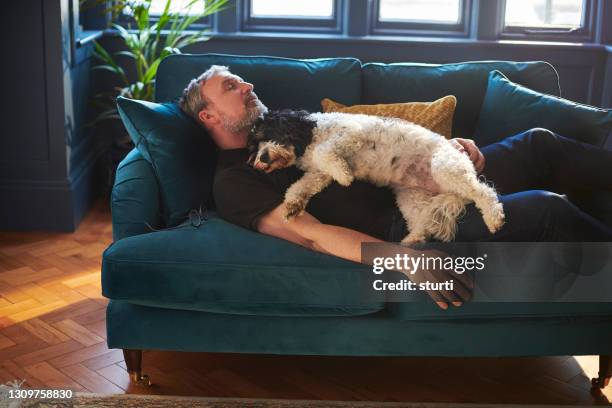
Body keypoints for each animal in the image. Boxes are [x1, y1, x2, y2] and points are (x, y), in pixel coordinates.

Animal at [246, 109, 504, 242]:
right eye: (254, 146)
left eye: (271, 134)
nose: (262, 158)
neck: (310, 134)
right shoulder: (318, 173)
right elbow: (300, 187)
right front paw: (292, 206)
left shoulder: (351, 134)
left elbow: (324, 152)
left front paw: (345, 176)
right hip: (411, 197)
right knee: (423, 224)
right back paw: (411, 241)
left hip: (446, 166)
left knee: (484, 192)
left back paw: (494, 218)